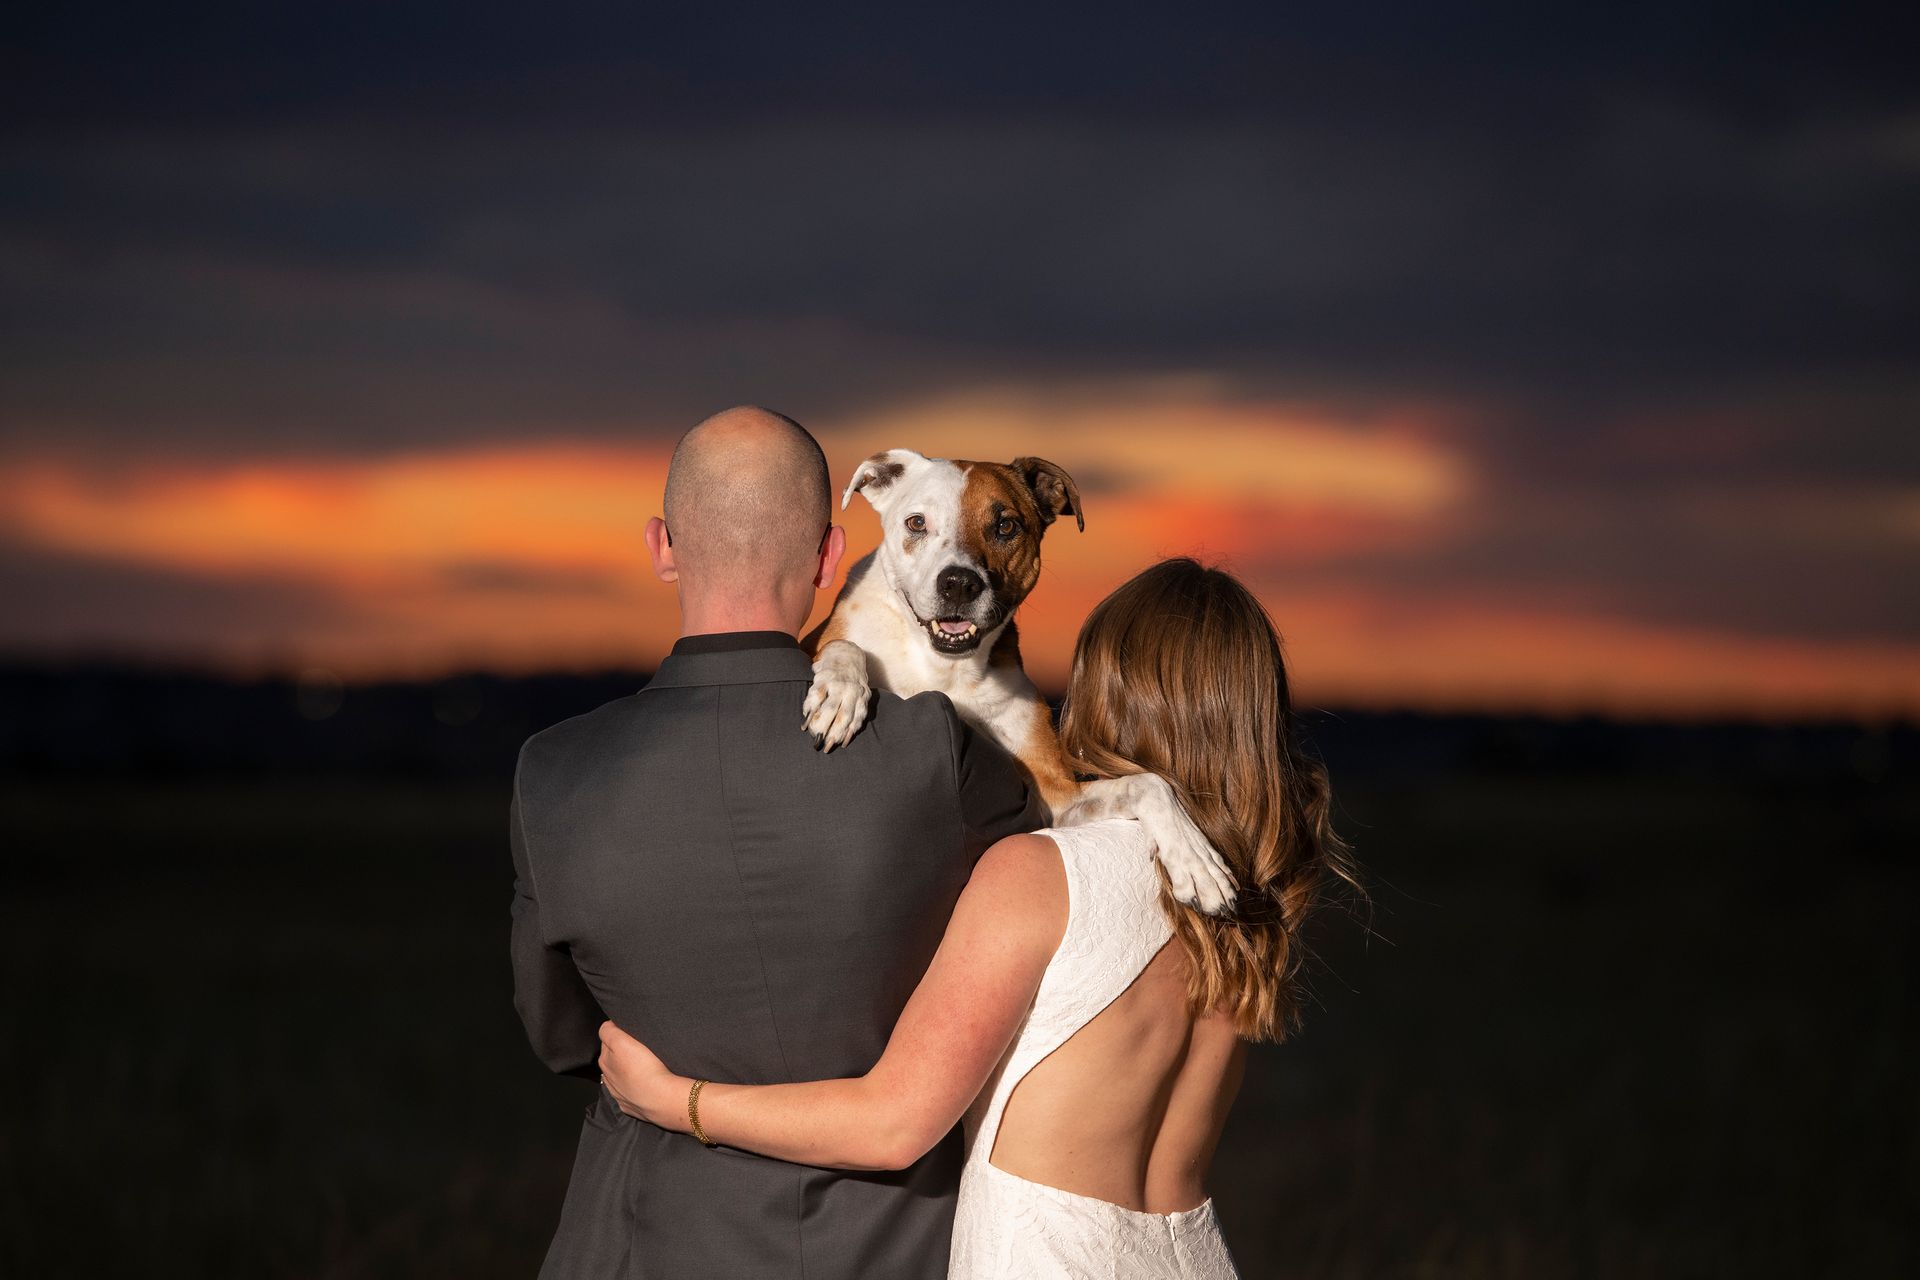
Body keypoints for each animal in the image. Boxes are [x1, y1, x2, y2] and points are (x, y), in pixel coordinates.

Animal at [799, 448, 1235, 913]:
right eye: (917, 523)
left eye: (1005, 526)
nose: (958, 583)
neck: (946, 668)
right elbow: (845, 646)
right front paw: (839, 695)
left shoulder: (1055, 799)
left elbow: (1149, 784)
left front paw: (1196, 861)